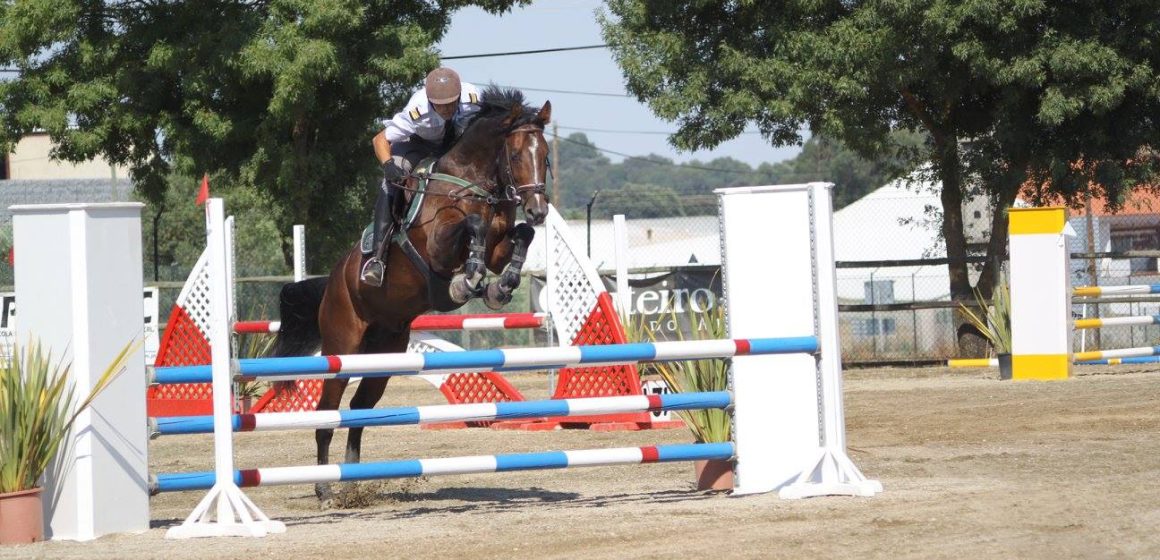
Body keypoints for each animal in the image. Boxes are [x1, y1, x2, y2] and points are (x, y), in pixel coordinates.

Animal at [276, 86, 556, 503]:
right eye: (518, 154)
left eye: (546, 155)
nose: (538, 209)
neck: (471, 182)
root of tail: (332, 284)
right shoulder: (439, 246)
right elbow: (471, 225)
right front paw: (468, 280)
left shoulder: (499, 245)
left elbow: (521, 236)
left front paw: (499, 286)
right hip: (342, 347)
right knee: (329, 409)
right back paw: (325, 486)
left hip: (385, 351)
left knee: (359, 408)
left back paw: (352, 481)